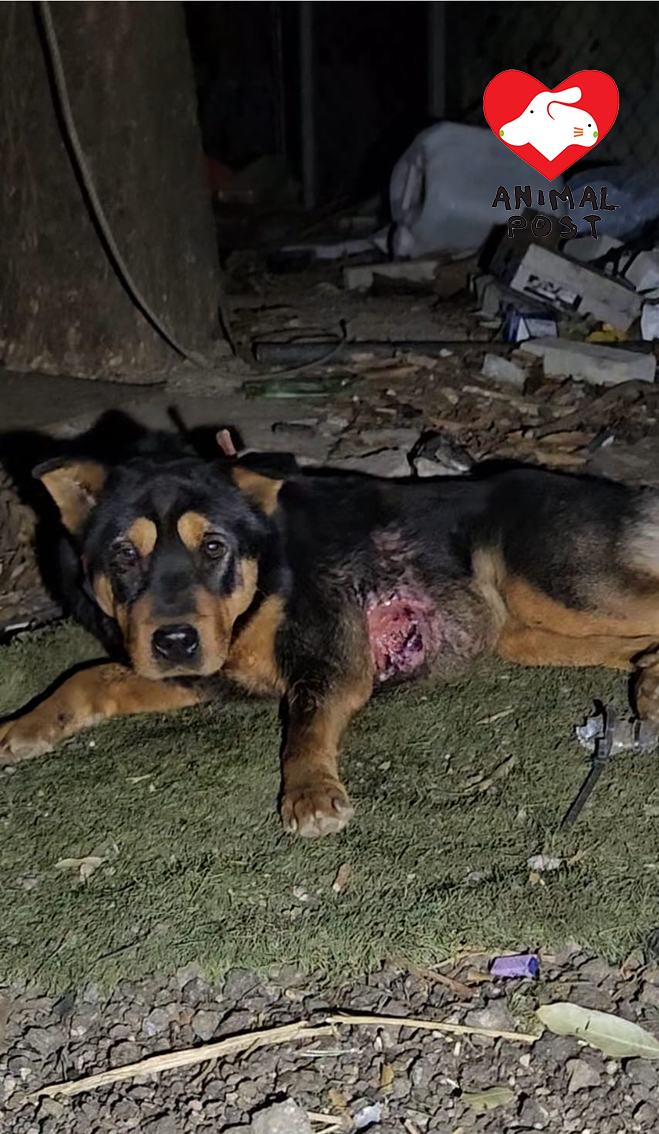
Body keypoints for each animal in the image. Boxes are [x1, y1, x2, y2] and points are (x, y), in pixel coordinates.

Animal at [2, 428, 659, 838]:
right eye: (123, 555)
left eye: (213, 547)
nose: (174, 642)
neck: (264, 574)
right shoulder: (195, 671)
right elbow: (91, 679)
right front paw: (26, 726)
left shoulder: (329, 654)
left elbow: (306, 721)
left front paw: (310, 792)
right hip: (531, 632)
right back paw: (650, 679)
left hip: (554, 584)